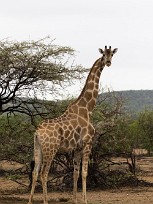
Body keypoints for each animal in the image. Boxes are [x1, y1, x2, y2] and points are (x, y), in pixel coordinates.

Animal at [27, 46, 118, 204]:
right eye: (103, 55)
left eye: (112, 54)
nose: (108, 62)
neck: (87, 108)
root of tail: (37, 132)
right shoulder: (88, 143)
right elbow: (84, 172)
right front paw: (85, 200)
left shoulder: (77, 147)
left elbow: (75, 173)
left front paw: (75, 199)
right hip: (51, 150)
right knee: (44, 173)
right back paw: (45, 201)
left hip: (37, 148)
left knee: (35, 172)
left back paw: (30, 201)